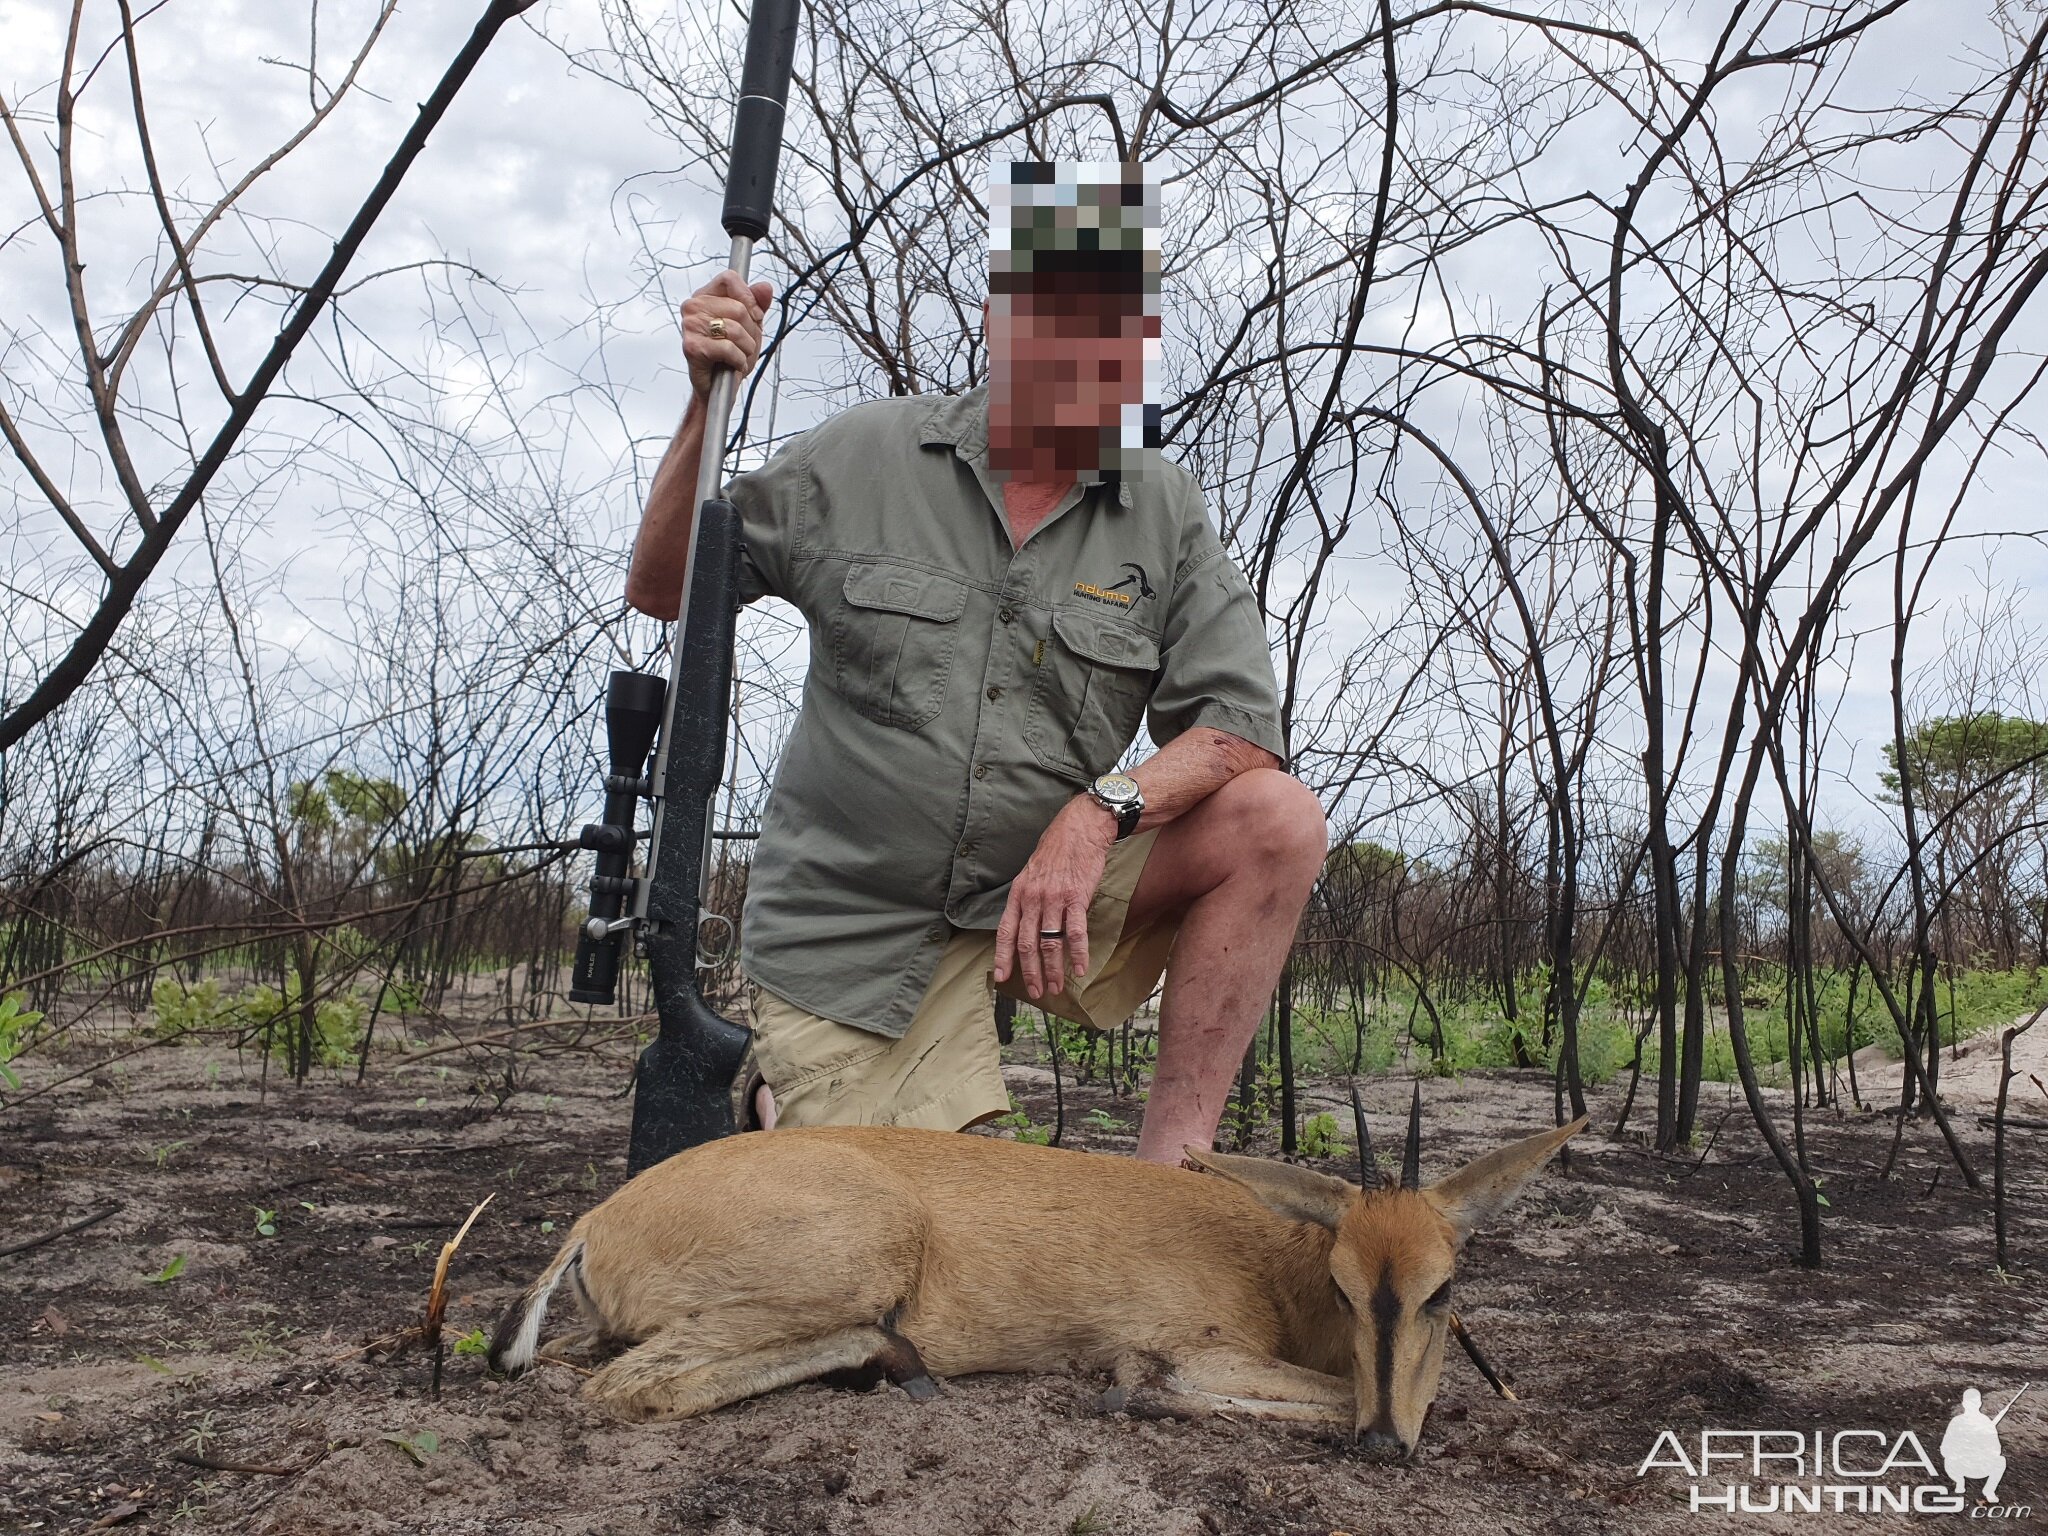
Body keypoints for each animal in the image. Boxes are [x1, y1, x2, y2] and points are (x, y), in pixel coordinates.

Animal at [491, 1089, 1581, 1458]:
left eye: (1444, 1287)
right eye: (1349, 1286)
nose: (1385, 1447)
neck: (1275, 1259)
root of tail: (595, 1219)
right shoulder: (1199, 1350)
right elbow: (1256, 1388)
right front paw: (1125, 1395)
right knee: (626, 1387)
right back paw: (898, 1363)